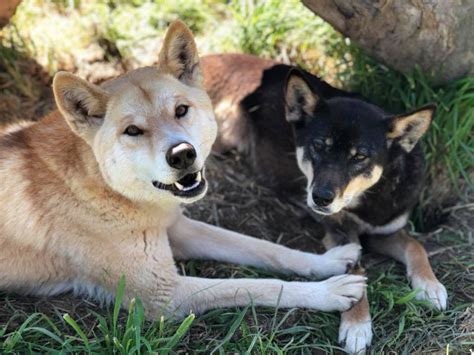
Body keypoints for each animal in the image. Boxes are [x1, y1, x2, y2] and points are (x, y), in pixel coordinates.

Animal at [202, 54, 446, 354]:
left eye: (360, 156)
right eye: (318, 145)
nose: (320, 197)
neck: (368, 197)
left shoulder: (383, 230)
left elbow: (416, 246)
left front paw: (429, 285)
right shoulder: (340, 233)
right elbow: (356, 269)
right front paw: (357, 325)